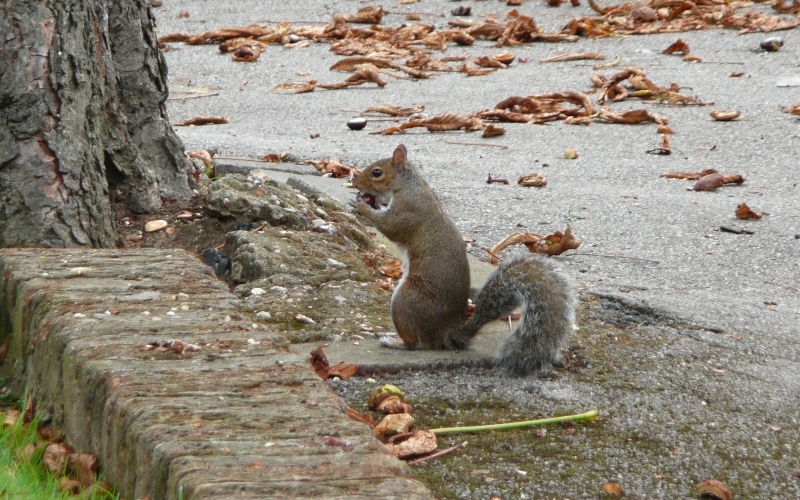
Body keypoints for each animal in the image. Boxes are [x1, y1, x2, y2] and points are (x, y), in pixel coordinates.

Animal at [354, 144, 576, 377]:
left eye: (376, 172)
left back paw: (394, 342)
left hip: (406, 300)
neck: (408, 184)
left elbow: (390, 226)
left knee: (416, 343)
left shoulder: (408, 208)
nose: (355, 183)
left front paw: (362, 207)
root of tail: (445, 334)